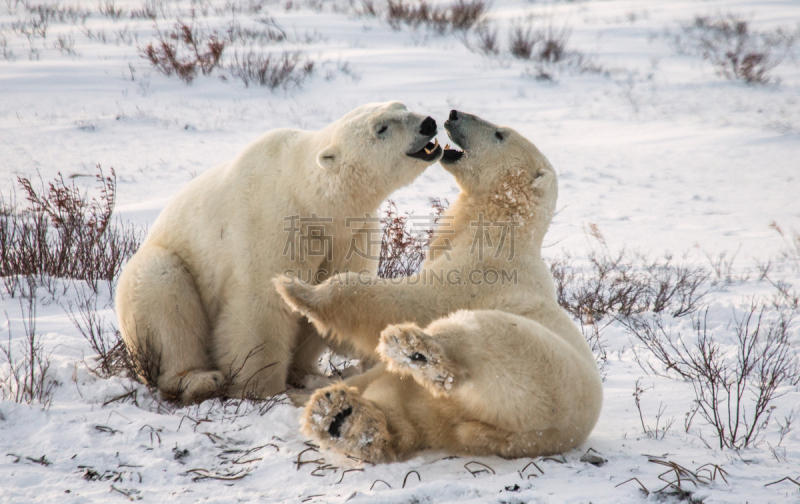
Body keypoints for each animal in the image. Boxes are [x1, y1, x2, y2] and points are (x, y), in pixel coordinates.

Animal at [116, 100, 444, 404]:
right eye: (381, 128)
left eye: (402, 105)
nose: (428, 123)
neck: (310, 198)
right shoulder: (271, 222)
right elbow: (261, 304)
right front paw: (262, 388)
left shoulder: (350, 233)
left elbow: (330, 295)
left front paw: (305, 372)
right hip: (156, 273)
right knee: (165, 297)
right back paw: (199, 379)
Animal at [278, 109, 604, 460]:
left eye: (500, 134)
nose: (454, 114)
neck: (501, 228)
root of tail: (525, 435)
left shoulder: (481, 272)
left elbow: (410, 299)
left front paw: (297, 290)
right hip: (457, 412)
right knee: (411, 413)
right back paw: (340, 417)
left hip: (530, 361)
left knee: (467, 341)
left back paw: (409, 348)